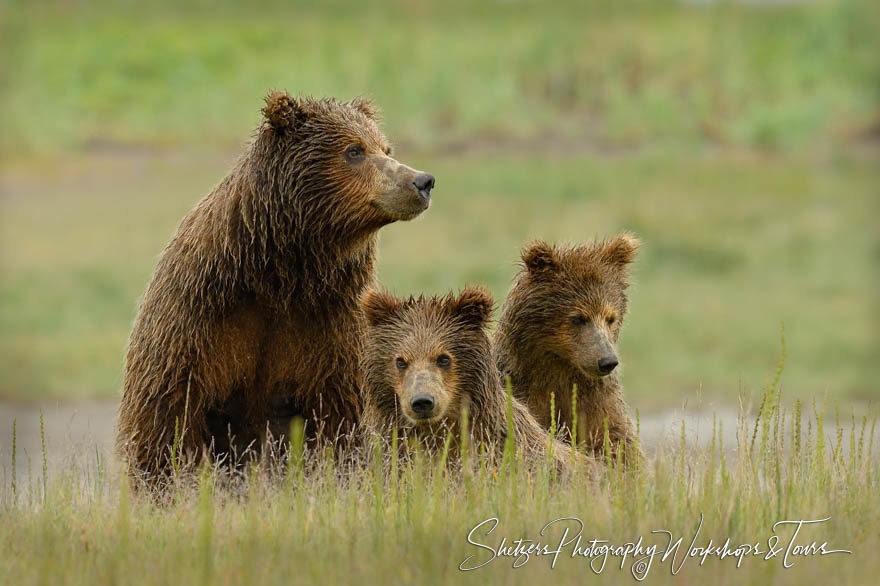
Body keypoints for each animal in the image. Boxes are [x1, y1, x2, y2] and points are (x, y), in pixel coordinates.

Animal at [117, 92, 434, 484]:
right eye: (354, 150)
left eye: (385, 147)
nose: (422, 181)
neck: (281, 275)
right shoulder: (200, 317)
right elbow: (168, 416)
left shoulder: (332, 322)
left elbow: (340, 417)